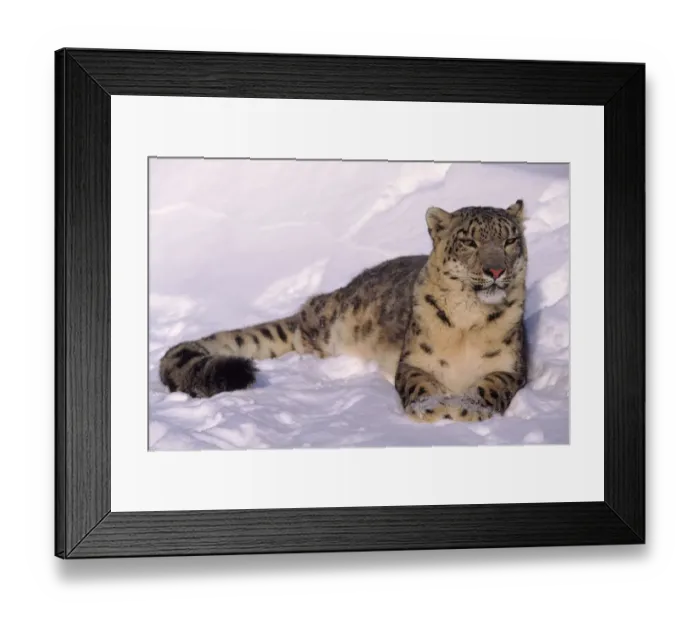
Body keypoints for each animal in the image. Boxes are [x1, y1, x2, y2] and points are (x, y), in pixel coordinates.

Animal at [159, 199, 528, 423]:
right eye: (469, 241)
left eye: (510, 241)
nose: (496, 270)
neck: (468, 322)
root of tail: (323, 301)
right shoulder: (413, 362)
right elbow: (420, 385)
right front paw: (436, 409)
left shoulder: (511, 367)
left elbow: (491, 386)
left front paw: (466, 409)